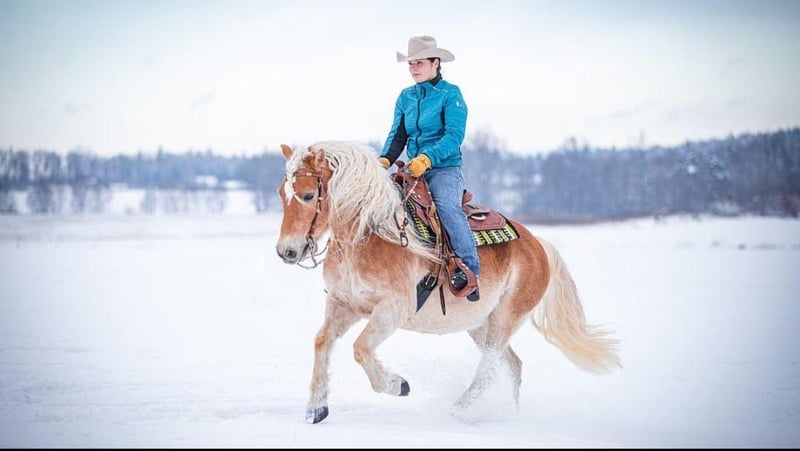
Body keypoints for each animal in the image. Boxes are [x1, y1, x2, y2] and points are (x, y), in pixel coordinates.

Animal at [275, 141, 621, 424]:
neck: (370, 234)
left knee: (489, 368)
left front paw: (397, 384)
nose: (286, 251)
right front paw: (316, 409)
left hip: (504, 320)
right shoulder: (343, 304)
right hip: (479, 324)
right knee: (512, 366)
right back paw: (509, 415)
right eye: (282, 194)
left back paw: (457, 410)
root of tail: (539, 245)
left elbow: (360, 349)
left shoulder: (391, 310)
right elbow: (322, 341)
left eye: (308, 195)